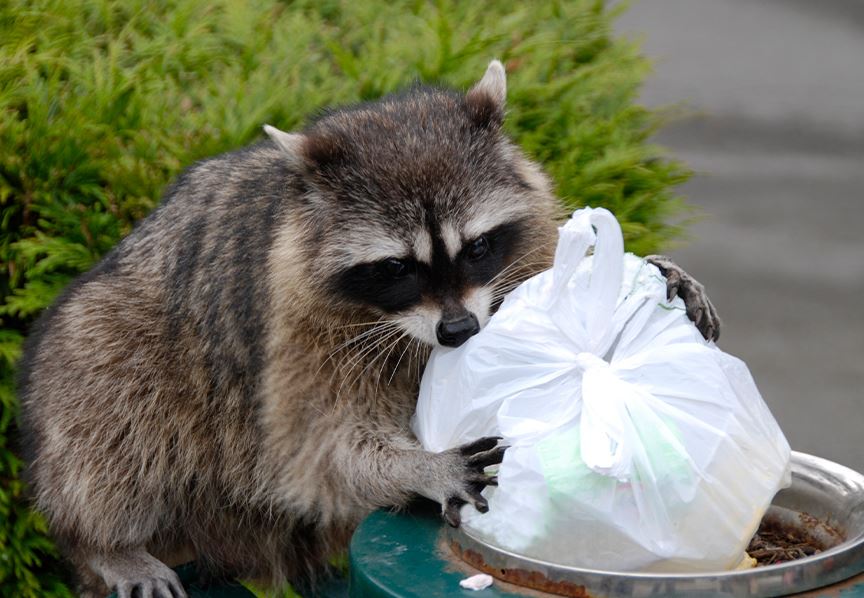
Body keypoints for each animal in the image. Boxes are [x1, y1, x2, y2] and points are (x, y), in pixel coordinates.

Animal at [17, 61, 720, 597]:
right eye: (396, 268)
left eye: (476, 248)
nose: (459, 331)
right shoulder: (294, 332)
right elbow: (316, 449)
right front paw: (419, 466)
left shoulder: (521, 249)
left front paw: (652, 275)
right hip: (112, 337)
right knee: (108, 399)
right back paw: (104, 541)